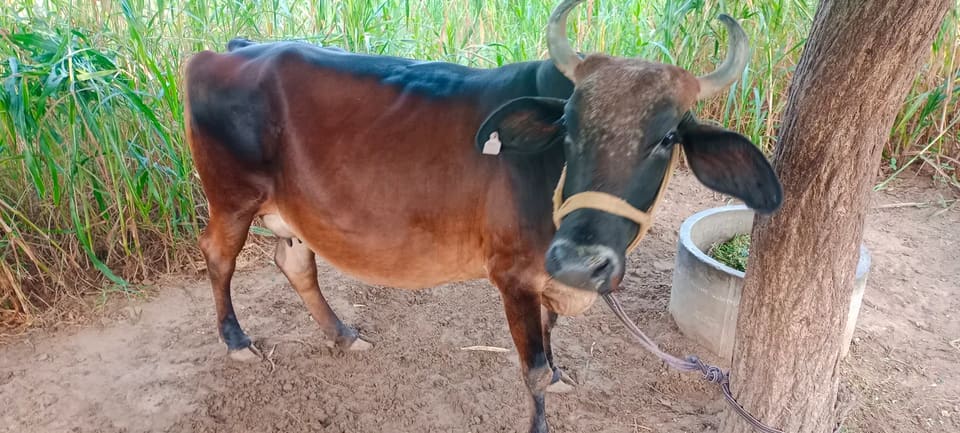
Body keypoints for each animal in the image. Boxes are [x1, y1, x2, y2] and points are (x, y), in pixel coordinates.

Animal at [182, 0, 782, 431]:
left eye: (667, 138)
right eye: (567, 126)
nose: (580, 260)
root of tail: (229, 51)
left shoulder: (547, 275)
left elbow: (550, 336)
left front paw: (561, 373)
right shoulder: (513, 274)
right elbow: (531, 371)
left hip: (293, 210)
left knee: (295, 263)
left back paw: (343, 334)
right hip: (232, 198)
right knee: (218, 255)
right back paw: (237, 341)